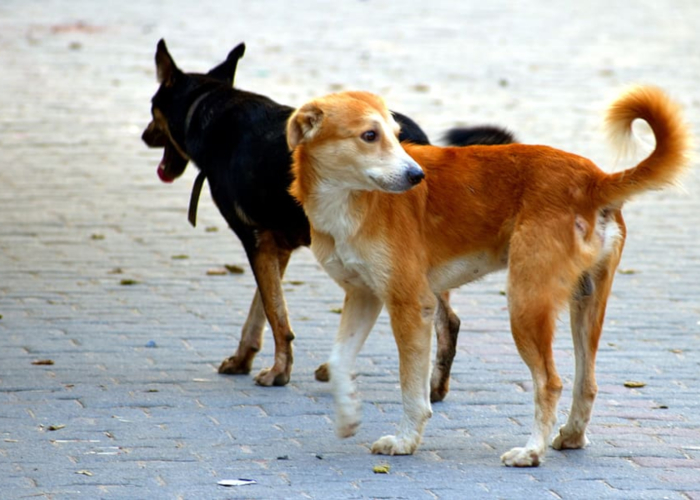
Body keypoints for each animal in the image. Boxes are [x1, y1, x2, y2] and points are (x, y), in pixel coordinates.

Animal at [142, 40, 516, 394]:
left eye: (152, 108)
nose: (145, 135)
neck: (210, 108)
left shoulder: (256, 239)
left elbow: (276, 314)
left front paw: (279, 372)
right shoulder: (278, 247)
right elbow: (260, 310)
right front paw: (243, 358)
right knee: (444, 319)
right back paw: (433, 387)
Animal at [288, 88, 692, 466]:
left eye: (396, 134)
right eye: (370, 135)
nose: (417, 176)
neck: (350, 201)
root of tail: (593, 178)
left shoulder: (411, 305)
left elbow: (412, 390)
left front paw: (405, 441)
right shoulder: (364, 296)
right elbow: (339, 361)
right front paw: (347, 416)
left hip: (525, 304)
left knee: (550, 382)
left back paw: (531, 451)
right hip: (587, 303)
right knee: (587, 383)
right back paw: (571, 436)